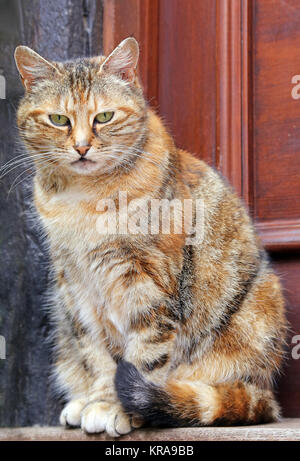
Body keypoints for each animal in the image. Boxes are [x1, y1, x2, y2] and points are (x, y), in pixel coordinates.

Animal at [14, 36, 288, 434]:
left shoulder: (149, 282)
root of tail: (266, 394)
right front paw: (100, 401)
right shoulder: (76, 286)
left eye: (104, 117)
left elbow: (142, 355)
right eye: (59, 119)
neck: (86, 198)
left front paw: (118, 408)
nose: (81, 147)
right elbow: (96, 354)